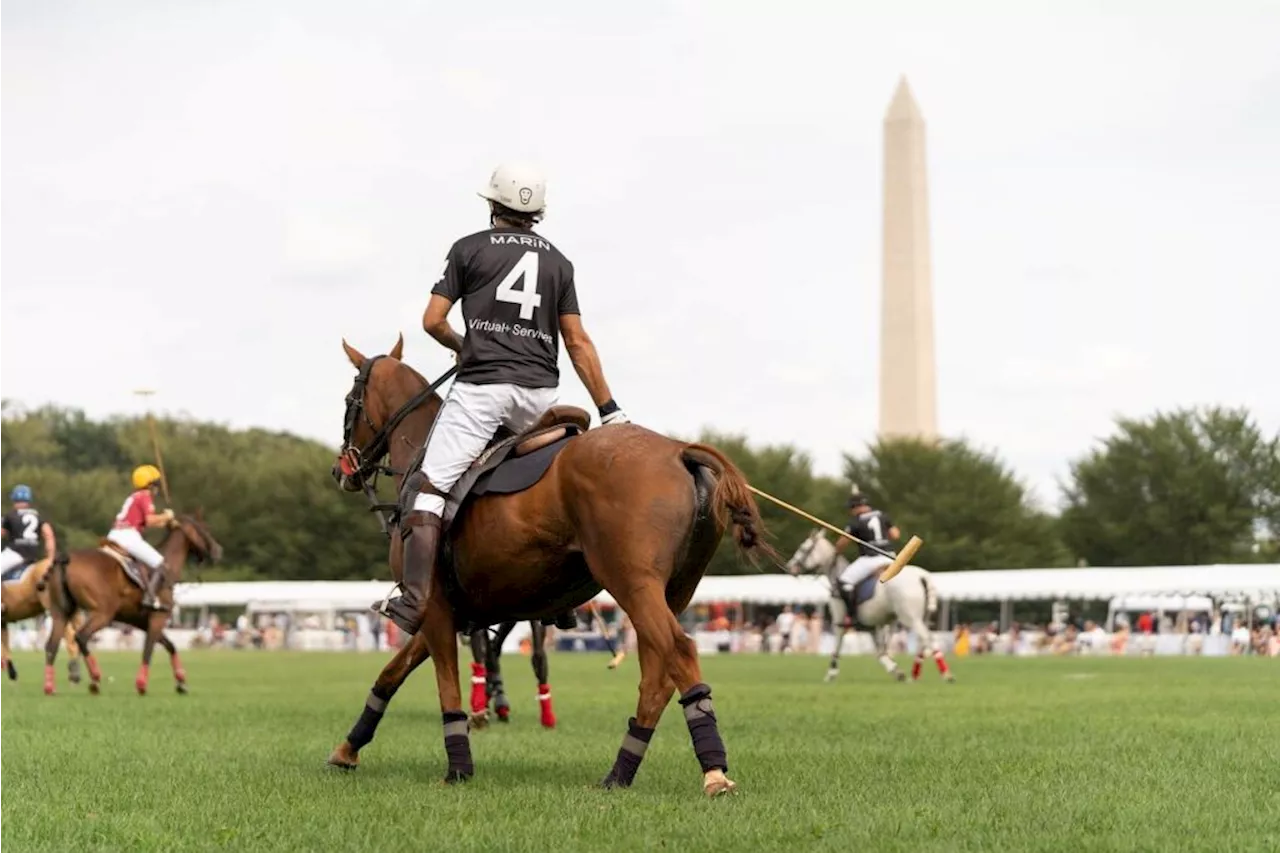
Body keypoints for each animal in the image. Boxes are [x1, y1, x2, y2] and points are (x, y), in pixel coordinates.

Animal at [43, 514, 222, 696]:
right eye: (204, 529)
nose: (218, 550)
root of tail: (65, 559)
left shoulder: (142, 621)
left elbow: (170, 646)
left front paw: (181, 683)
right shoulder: (158, 617)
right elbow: (148, 650)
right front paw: (141, 684)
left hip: (61, 613)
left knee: (51, 645)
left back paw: (50, 687)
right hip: (103, 614)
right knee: (81, 636)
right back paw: (95, 679)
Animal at [325, 335, 773, 794]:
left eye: (348, 401)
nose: (344, 470)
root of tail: (680, 452)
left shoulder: (431, 607)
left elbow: (445, 685)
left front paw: (458, 768)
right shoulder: (449, 610)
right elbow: (391, 673)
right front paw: (347, 750)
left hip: (632, 582)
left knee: (678, 651)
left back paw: (713, 772)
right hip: (676, 589)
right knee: (656, 672)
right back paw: (619, 773)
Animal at [783, 527, 957, 681]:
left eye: (803, 549)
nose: (790, 567)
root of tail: (922, 576)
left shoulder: (840, 619)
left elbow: (839, 644)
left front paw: (831, 673)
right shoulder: (873, 625)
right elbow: (881, 651)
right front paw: (896, 671)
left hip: (909, 617)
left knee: (928, 638)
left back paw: (946, 674)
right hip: (921, 616)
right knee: (924, 640)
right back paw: (916, 674)